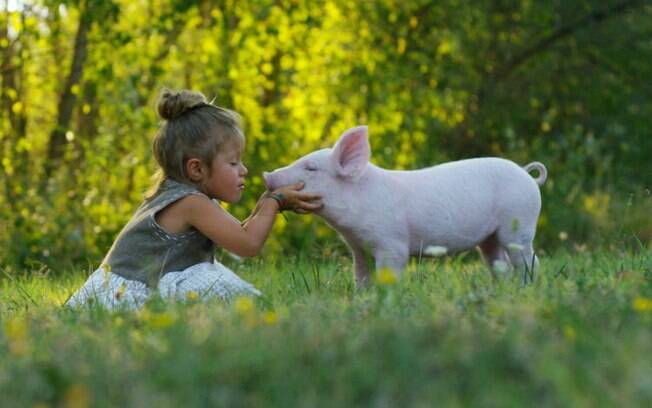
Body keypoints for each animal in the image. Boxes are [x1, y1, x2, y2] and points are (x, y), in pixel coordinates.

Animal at [262, 126, 548, 286]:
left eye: (311, 168)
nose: (267, 174)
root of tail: (527, 174)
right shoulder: (359, 249)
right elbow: (361, 276)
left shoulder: (392, 243)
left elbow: (390, 272)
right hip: (490, 238)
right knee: (499, 263)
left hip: (519, 223)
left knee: (528, 261)